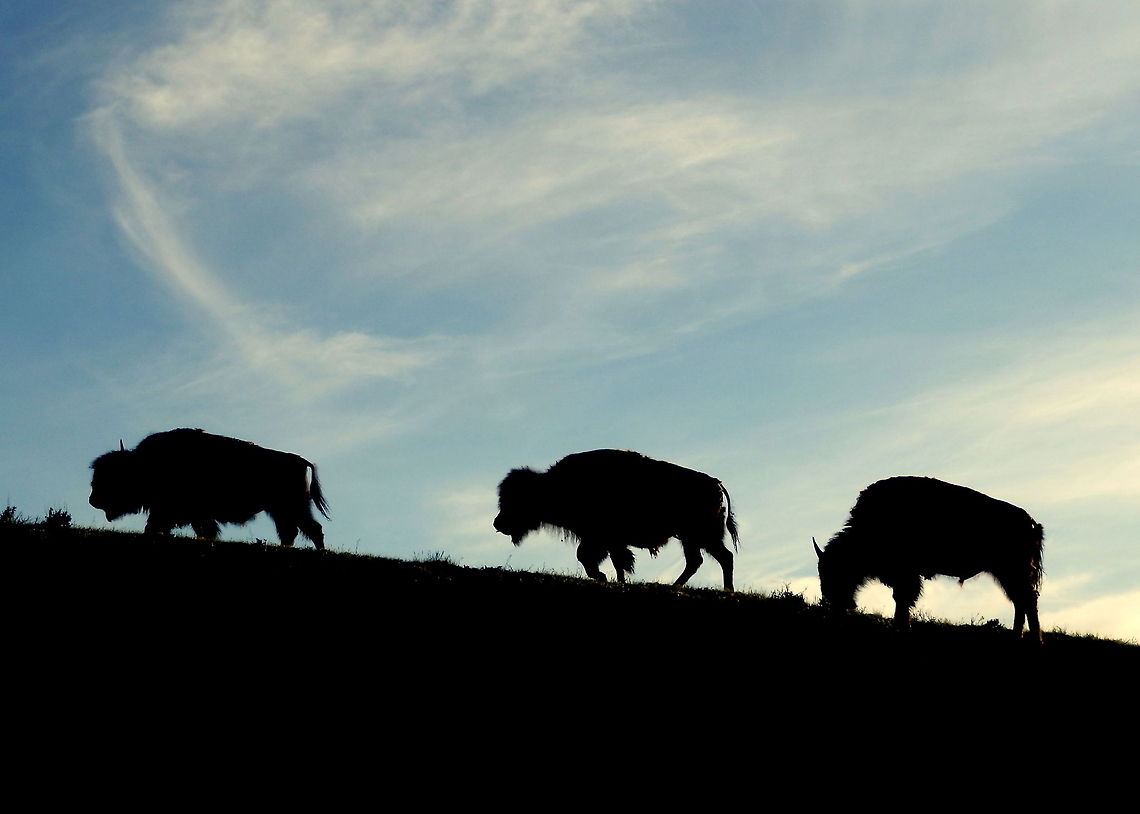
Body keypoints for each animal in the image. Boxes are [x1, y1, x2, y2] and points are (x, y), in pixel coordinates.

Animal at [90, 428, 329, 549]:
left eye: (112, 476)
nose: (93, 500)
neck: (143, 464)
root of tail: (299, 460)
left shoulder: (173, 511)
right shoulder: (187, 514)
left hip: (291, 507)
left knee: (311, 529)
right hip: (281, 511)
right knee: (293, 531)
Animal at [494, 449, 739, 591]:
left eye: (518, 499)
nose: (498, 523)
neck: (552, 486)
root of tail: (716, 483)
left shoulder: (599, 538)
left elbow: (589, 557)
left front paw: (602, 576)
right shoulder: (609, 541)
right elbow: (616, 561)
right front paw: (616, 580)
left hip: (700, 536)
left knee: (720, 558)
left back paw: (723, 590)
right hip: (692, 538)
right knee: (701, 560)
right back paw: (679, 586)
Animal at [814, 476, 1044, 642]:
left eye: (837, 569)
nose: (832, 599)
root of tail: (1030, 522)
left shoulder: (905, 574)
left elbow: (903, 599)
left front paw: (900, 628)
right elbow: (901, 599)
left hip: (1011, 571)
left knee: (1027, 599)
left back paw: (1033, 640)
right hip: (1006, 574)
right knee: (1021, 601)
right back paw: (1017, 637)